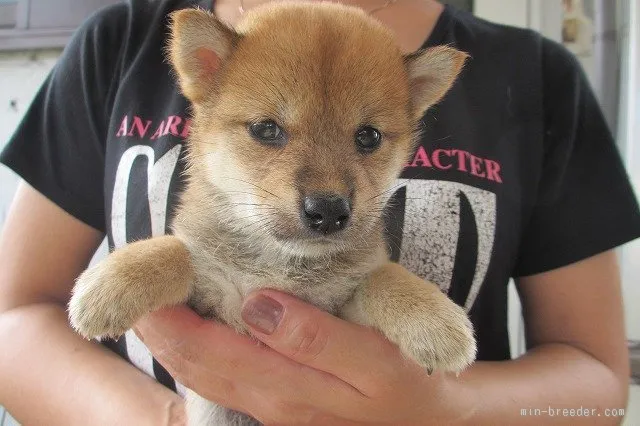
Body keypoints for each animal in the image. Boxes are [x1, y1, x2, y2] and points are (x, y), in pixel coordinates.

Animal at [70, 1, 478, 424]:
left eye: (369, 136)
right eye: (266, 129)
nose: (328, 209)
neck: (280, 265)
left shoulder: (343, 311)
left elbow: (382, 276)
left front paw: (433, 319)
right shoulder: (209, 293)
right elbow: (177, 250)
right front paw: (114, 282)